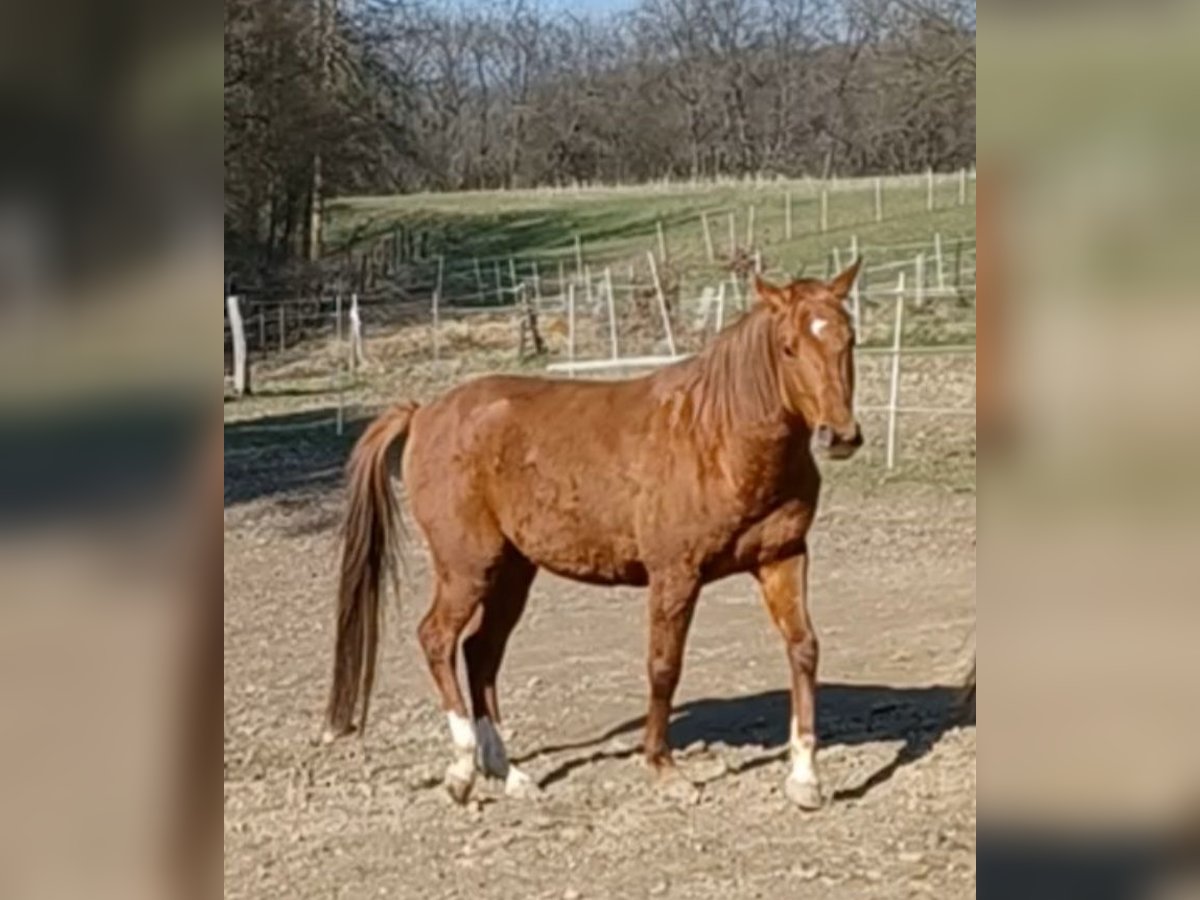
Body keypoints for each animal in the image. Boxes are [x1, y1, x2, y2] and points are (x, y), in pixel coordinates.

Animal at [326, 259, 864, 811]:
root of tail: (424, 412)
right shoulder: (675, 575)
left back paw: (509, 772)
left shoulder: (783, 558)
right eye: (788, 347)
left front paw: (805, 777)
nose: (839, 435)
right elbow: (664, 666)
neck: (718, 438)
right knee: (438, 639)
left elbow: (803, 648)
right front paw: (664, 769)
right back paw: (462, 770)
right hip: (467, 568)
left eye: (850, 338)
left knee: (481, 652)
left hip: (512, 573)